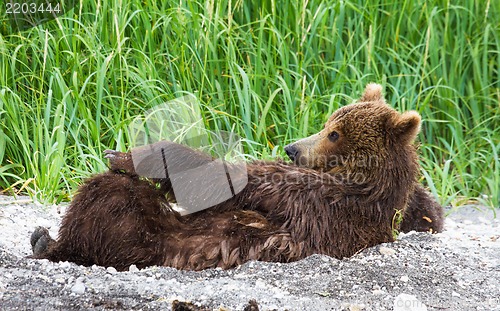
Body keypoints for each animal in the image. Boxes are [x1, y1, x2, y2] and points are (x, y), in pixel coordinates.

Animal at [31, 84, 444, 272]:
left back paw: (51, 240)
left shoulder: (324, 203)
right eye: (328, 123)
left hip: (145, 237)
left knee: (110, 198)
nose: (293, 148)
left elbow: (242, 181)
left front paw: (132, 156)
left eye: (335, 133)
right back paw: (43, 237)